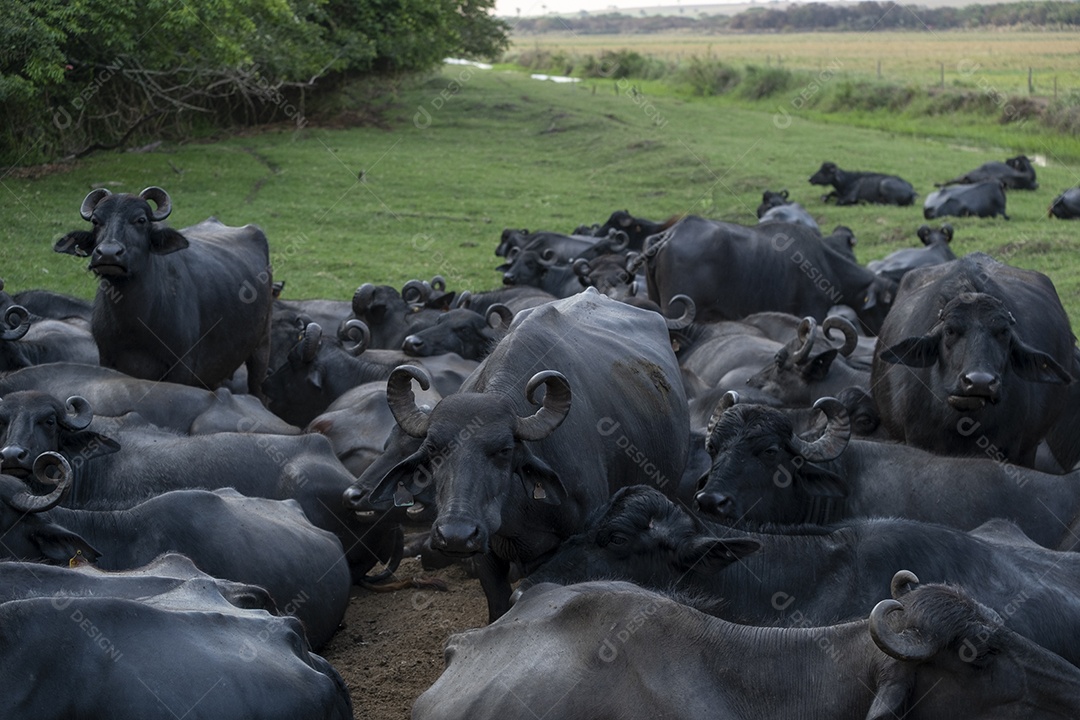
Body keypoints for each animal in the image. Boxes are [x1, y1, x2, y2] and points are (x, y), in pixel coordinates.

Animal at [54, 185, 274, 397]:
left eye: (141, 220)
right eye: (96, 221)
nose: (108, 253)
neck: (135, 324)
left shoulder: (182, 367)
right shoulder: (107, 358)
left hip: (262, 347)